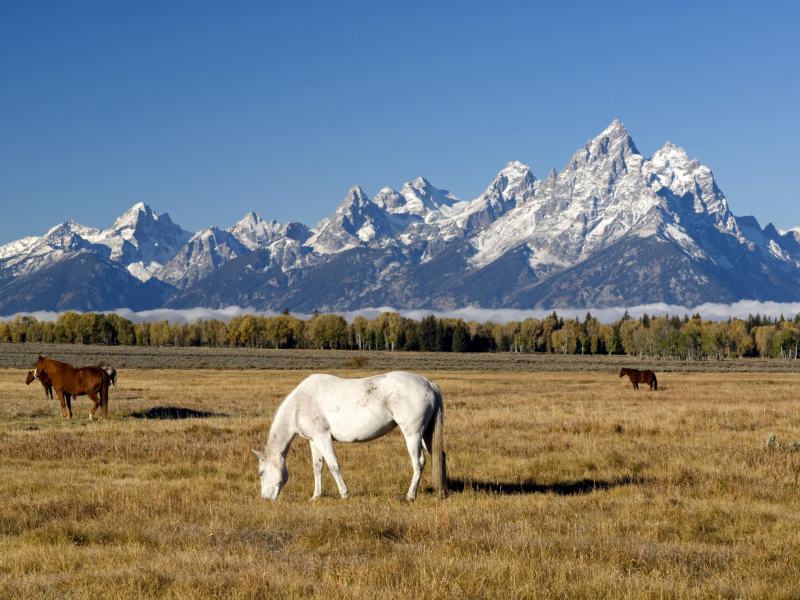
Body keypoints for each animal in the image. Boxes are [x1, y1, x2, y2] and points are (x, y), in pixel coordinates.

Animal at [253, 370, 446, 502]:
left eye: (261, 472)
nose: (265, 499)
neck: (299, 405)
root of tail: (428, 383)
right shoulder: (314, 440)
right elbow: (317, 467)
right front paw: (316, 495)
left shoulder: (323, 438)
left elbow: (333, 466)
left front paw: (344, 494)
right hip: (425, 434)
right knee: (439, 456)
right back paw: (442, 491)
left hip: (413, 434)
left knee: (419, 462)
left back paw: (410, 495)